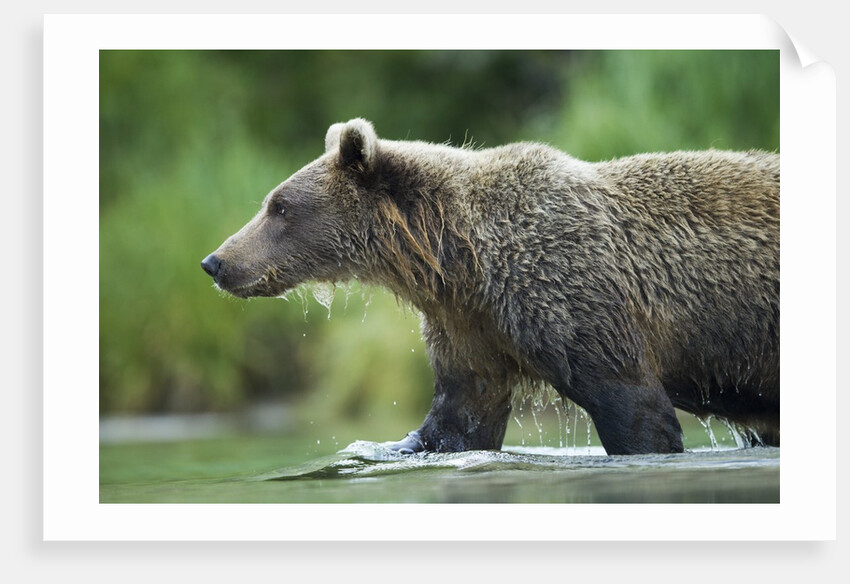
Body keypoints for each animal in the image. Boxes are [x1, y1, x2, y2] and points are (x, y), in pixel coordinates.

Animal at [201, 118, 779, 456]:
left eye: (280, 207)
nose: (216, 261)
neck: (459, 260)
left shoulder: (572, 294)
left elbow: (633, 407)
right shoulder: (470, 326)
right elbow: (460, 416)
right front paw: (395, 446)